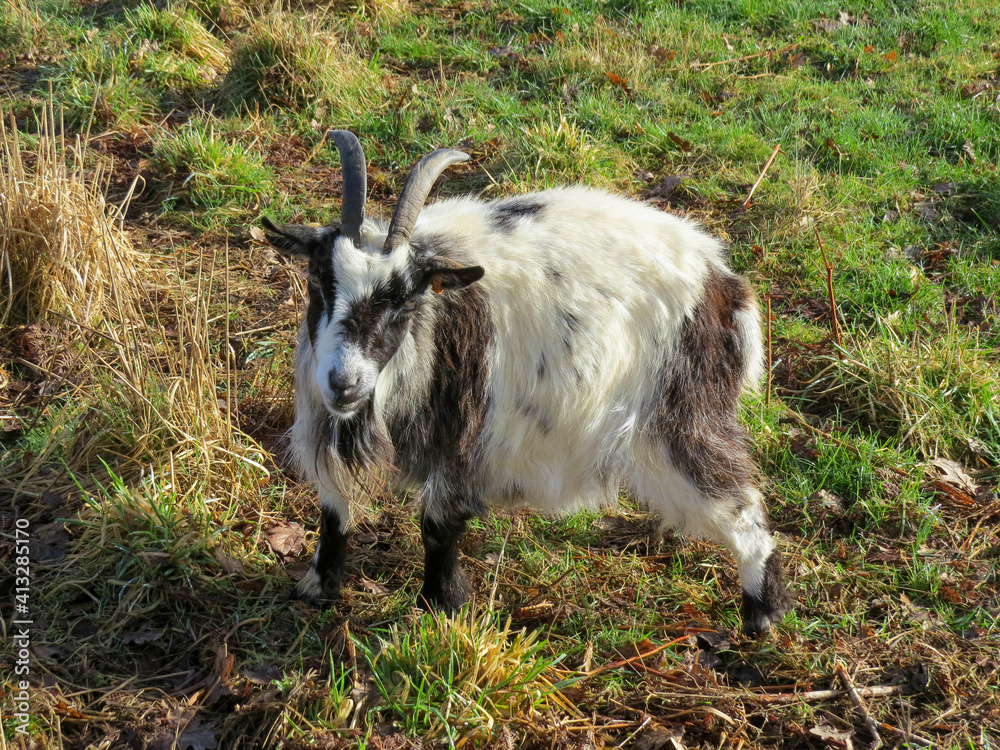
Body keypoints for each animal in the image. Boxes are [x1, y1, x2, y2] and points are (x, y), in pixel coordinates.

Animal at [262, 131, 789, 635]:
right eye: (317, 280)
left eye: (407, 300)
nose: (344, 383)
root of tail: (726, 285)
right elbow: (333, 505)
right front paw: (318, 587)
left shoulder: (467, 435)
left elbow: (437, 523)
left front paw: (439, 608)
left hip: (683, 418)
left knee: (740, 504)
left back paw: (761, 614)